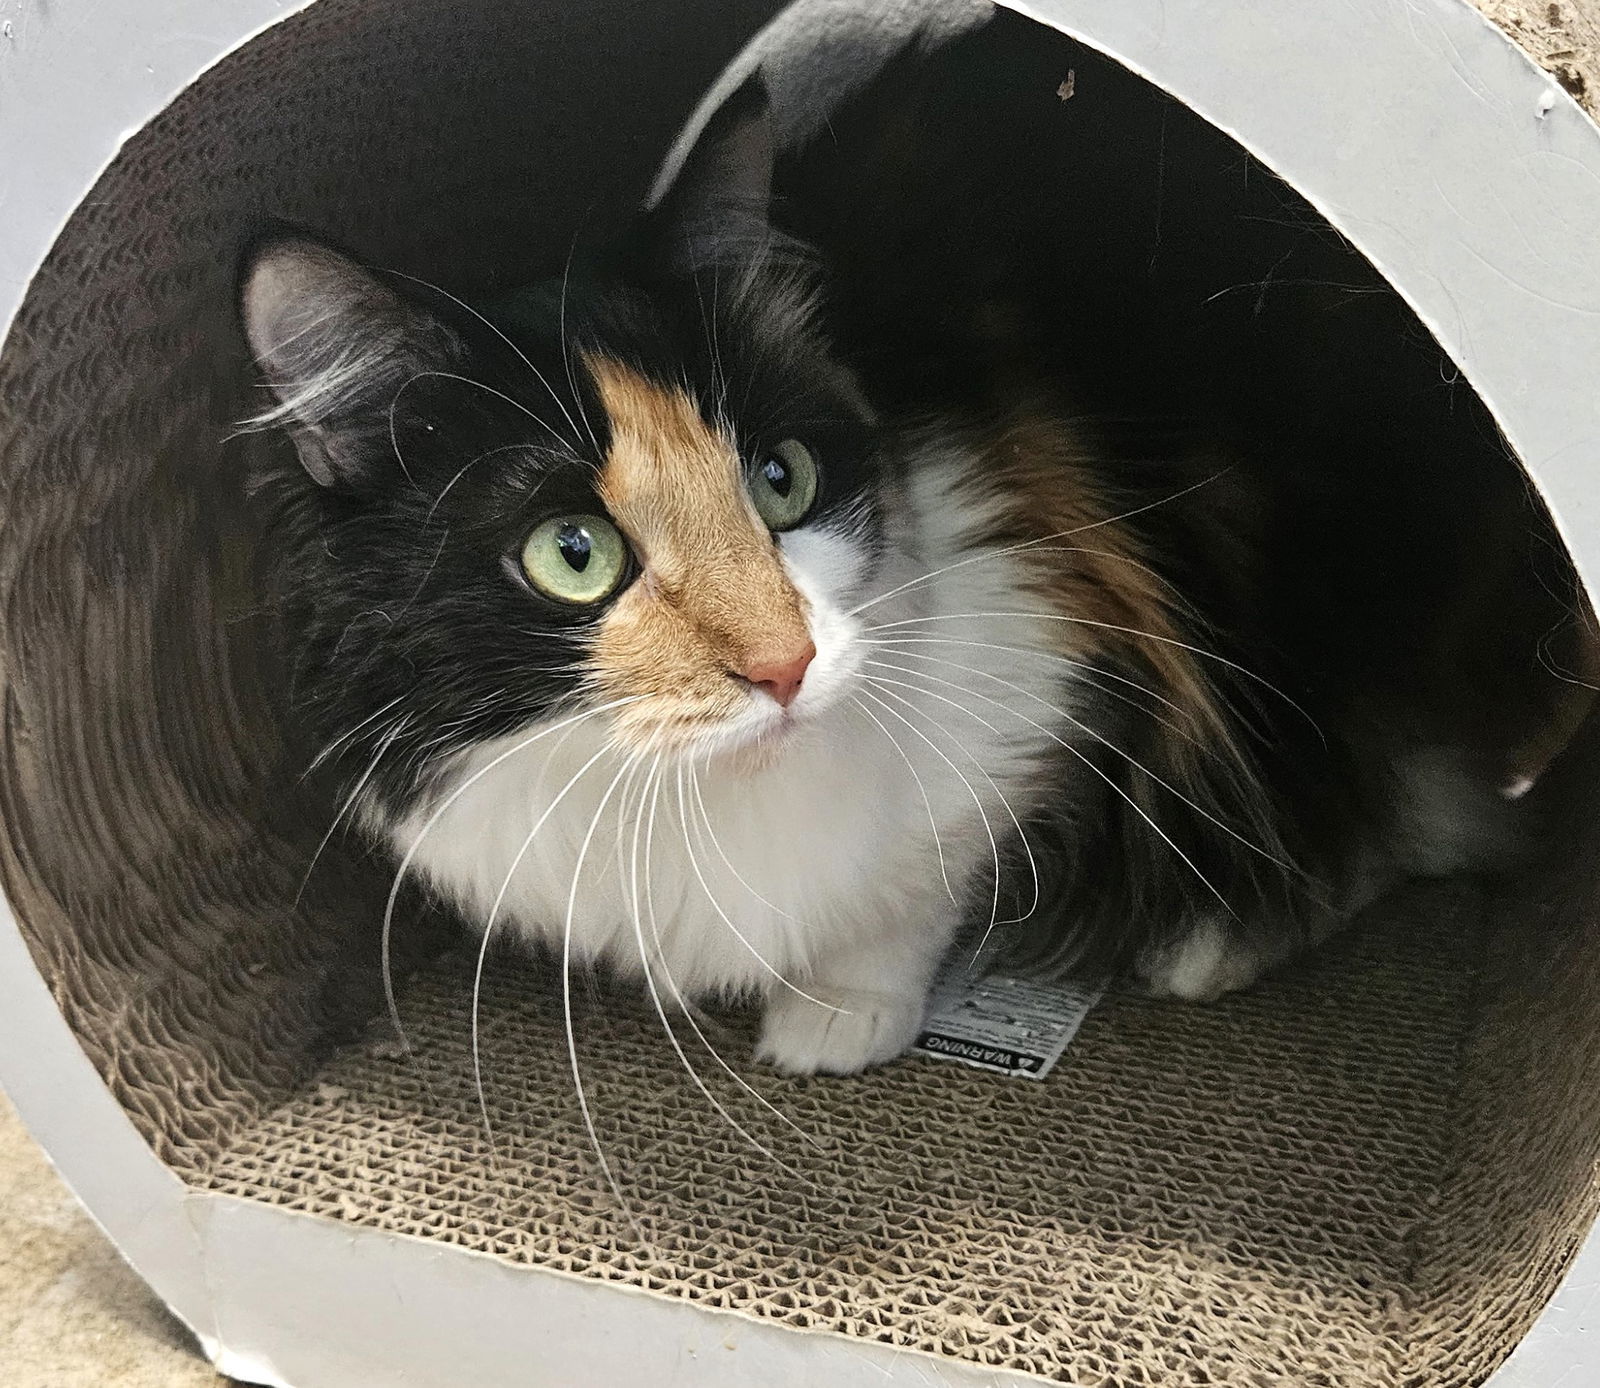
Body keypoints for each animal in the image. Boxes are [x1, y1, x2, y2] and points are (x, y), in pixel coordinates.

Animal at [240, 73, 1600, 1074]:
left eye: (780, 479)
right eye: (574, 554)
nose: (784, 664)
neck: (709, 796)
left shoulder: (1047, 642)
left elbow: (919, 876)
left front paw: (838, 1014)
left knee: (1422, 797)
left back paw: (1215, 934)